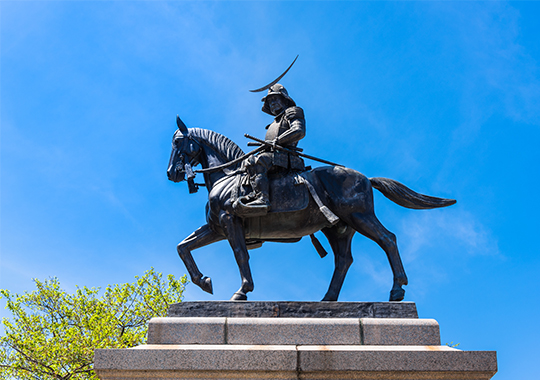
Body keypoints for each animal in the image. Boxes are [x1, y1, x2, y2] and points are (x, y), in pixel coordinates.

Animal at [168, 117, 456, 302]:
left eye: (177, 143)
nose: (172, 173)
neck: (227, 177)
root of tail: (365, 178)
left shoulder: (230, 221)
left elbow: (240, 255)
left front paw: (242, 291)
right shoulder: (216, 227)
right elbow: (183, 247)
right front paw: (204, 282)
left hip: (359, 216)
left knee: (388, 240)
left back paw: (397, 290)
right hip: (339, 228)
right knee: (344, 260)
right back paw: (327, 299)